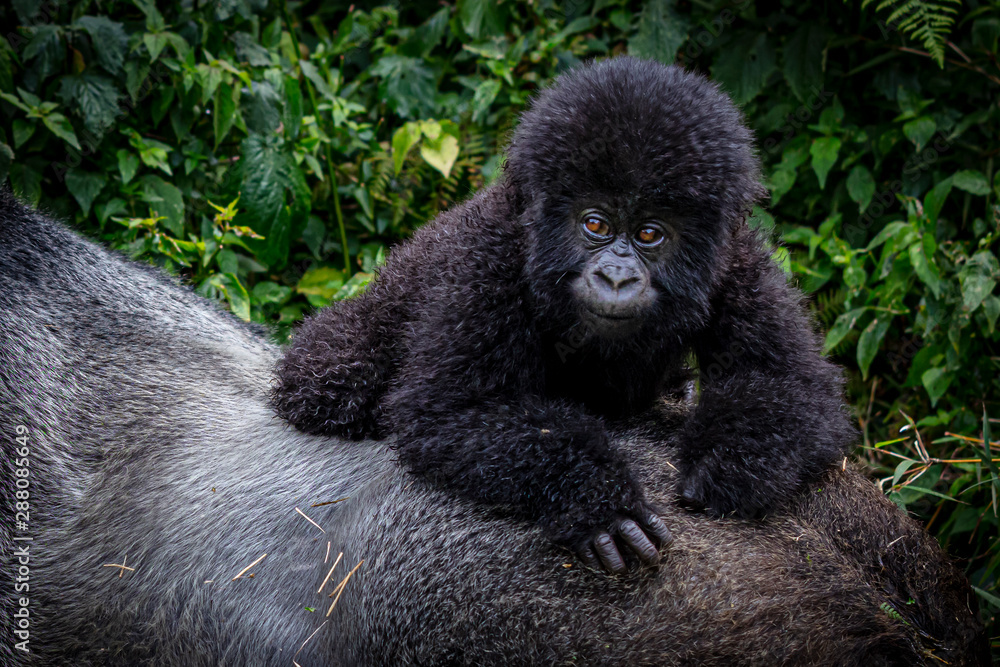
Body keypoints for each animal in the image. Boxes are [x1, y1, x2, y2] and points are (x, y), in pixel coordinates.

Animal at [271, 56, 857, 572]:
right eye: (595, 224)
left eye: (649, 233)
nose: (616, 277)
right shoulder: (489, 258)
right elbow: (454, 411)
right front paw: (598, 498)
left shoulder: (736, 261)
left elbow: (790, 384)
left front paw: (727, 467)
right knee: (334, 378)